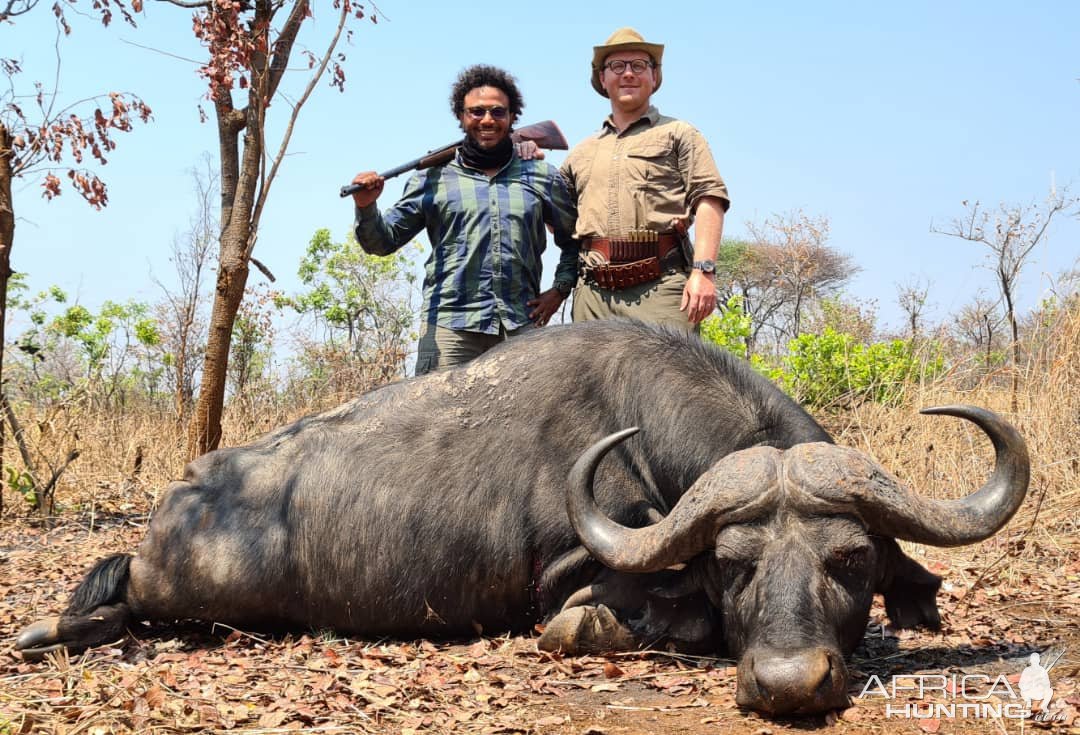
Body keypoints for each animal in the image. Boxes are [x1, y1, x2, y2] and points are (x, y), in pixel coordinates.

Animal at [16, 317, 1028, 712]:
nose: (787, 682)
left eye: (850, 560)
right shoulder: (572, 576)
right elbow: (611, 617)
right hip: (187, 597)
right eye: (734, 564)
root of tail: (173, 508)